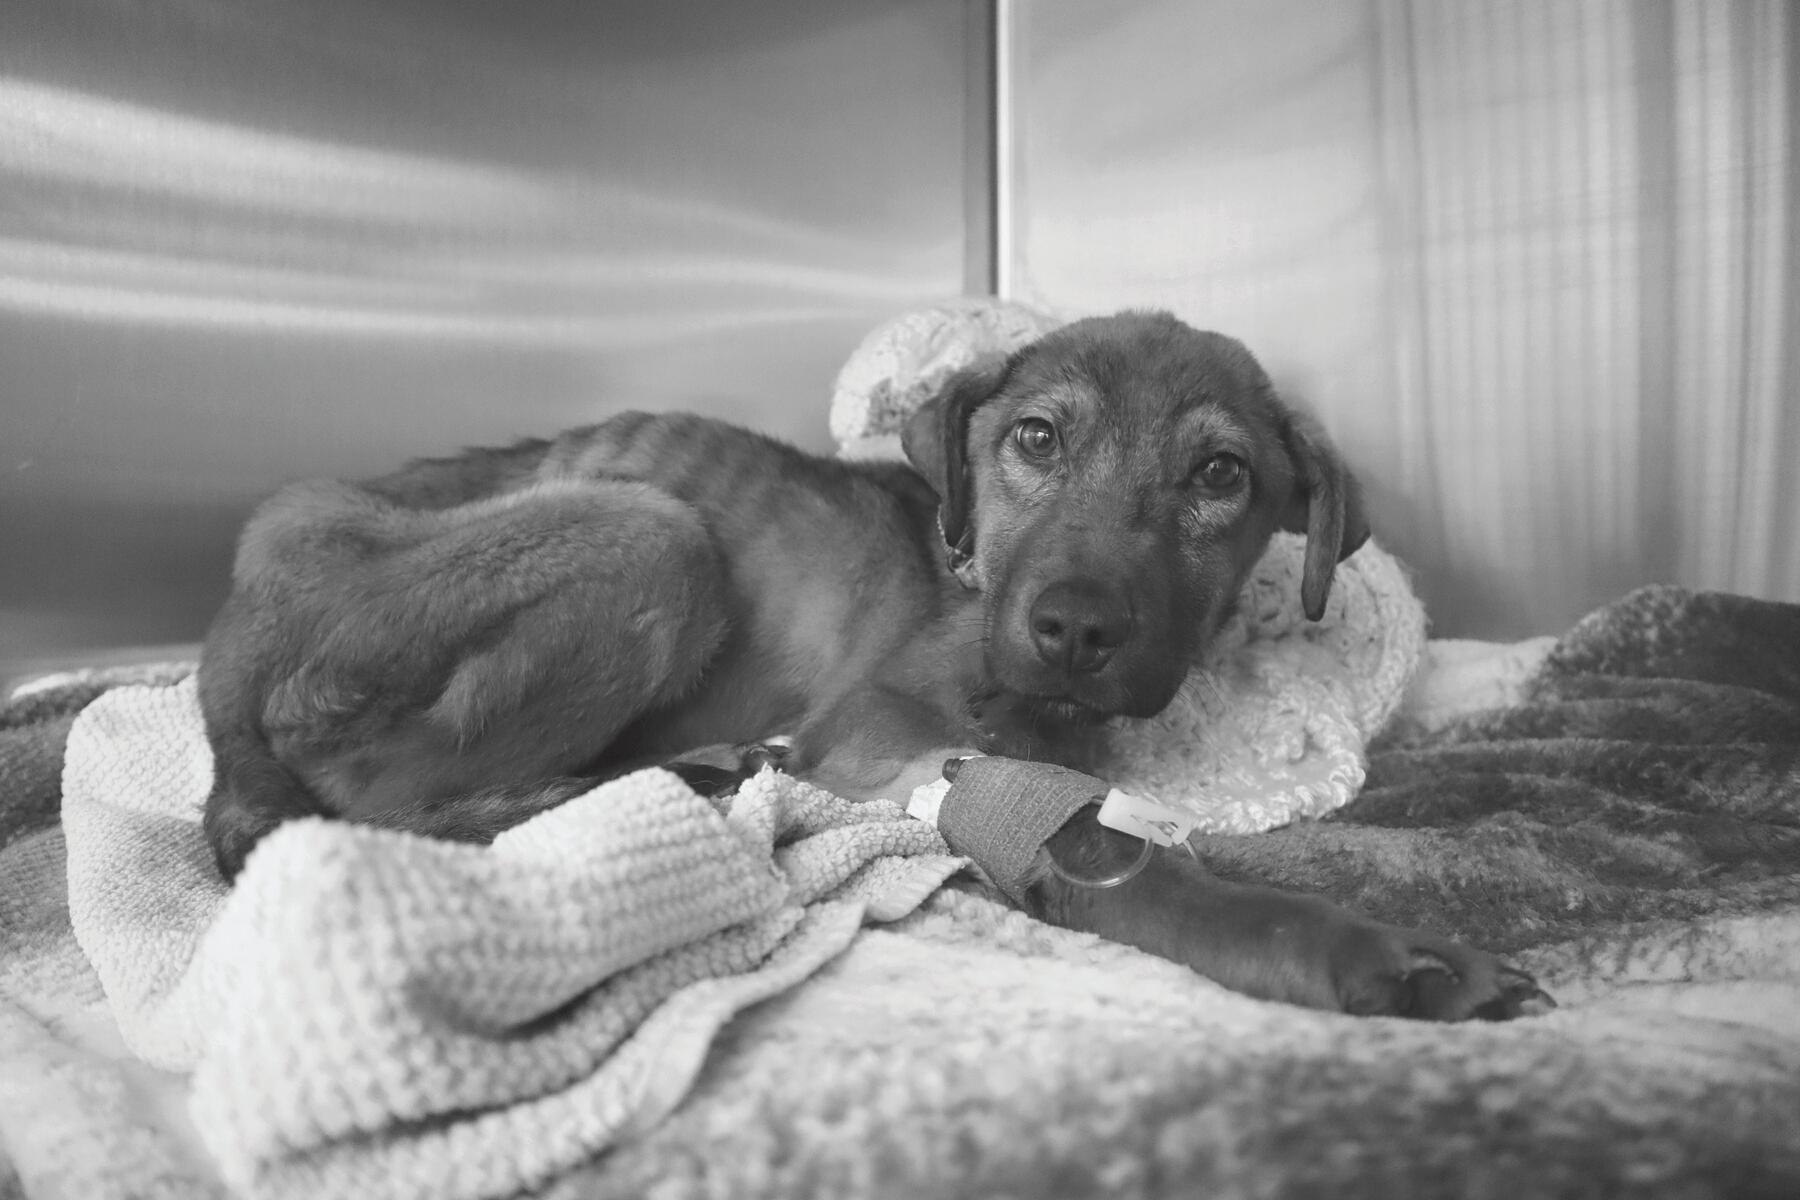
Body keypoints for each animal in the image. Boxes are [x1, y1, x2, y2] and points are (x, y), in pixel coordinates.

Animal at [198, 310, 1550, 1020]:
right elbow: (1110, 849)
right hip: (648, 531)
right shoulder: (872, 733)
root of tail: (240, 602)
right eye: (1035, 439)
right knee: (372, 793)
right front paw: (1363, 952)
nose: (1074, 628)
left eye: (1222, 475)